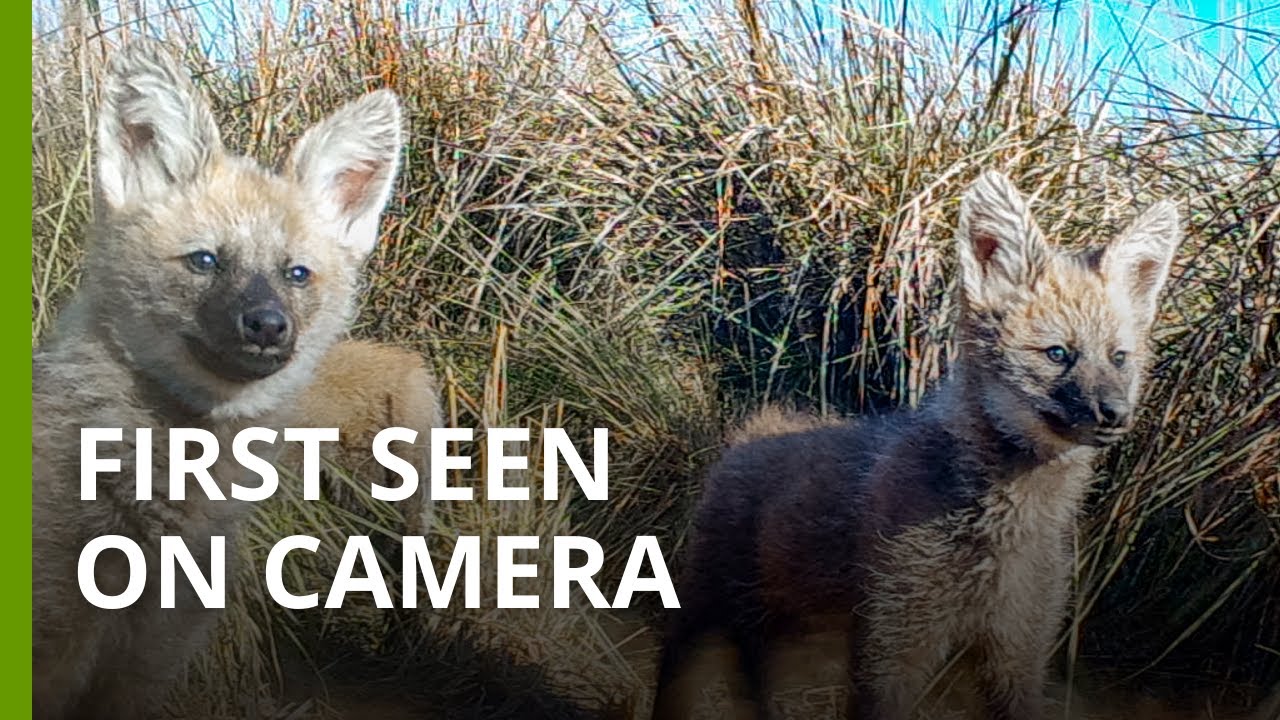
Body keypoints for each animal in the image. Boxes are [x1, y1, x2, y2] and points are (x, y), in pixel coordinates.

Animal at [651, 172, 1183, 720]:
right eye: (1058, 354)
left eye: (1119, 358)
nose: (1115, 414)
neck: (1001, 534)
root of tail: (760, 423)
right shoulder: (892, 649)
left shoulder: (1017, 656)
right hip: (708, 606)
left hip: (788, 625)